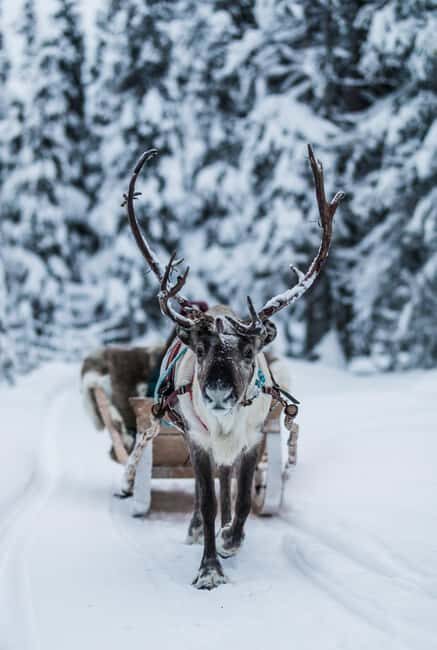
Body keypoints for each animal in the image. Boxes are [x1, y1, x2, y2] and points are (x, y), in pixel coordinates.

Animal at [124, 145, 344, 589]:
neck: (225, 426)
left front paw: (231, 539)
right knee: (204, 491)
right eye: (201, 349)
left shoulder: (253, 439)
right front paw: (209, 566)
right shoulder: (198, 442)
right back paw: (195, 528)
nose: (219, 392)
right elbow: (207, 500)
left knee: (228, 485)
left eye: (249, 351)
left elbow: (241, 499)